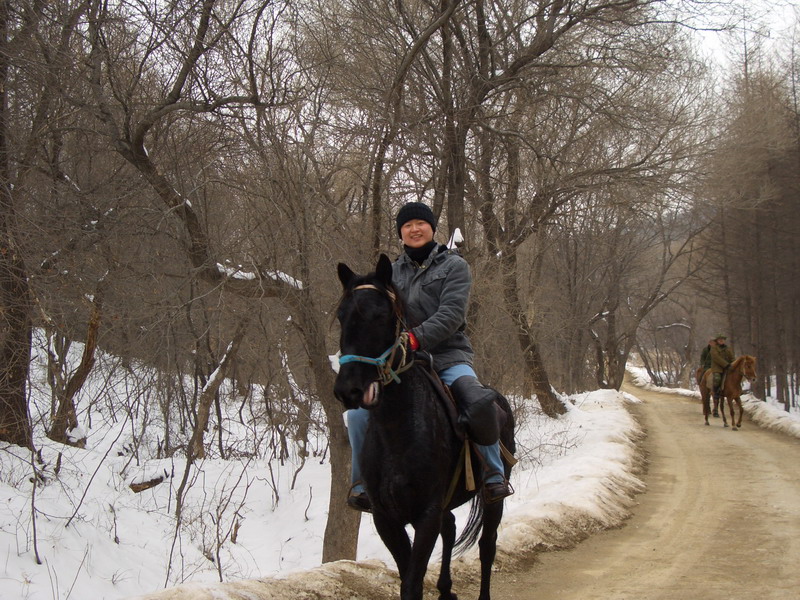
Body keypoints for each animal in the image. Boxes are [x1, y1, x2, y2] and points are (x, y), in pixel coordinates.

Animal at [332, 253, 516, 600]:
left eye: (381, 315)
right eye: (341, 315)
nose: (349, 390)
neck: (398, 430)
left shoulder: (426, 516)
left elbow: (412, 583)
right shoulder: (386, 519)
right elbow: (408, 576)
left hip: (493, 499)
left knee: (487, 546)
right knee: (452, 527)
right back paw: (446, 590)